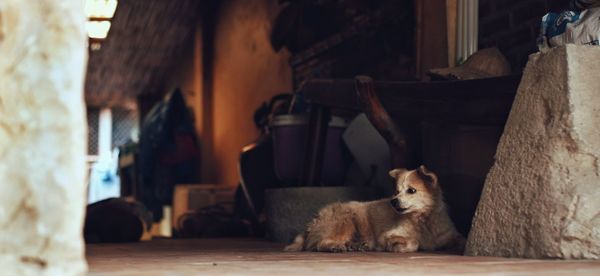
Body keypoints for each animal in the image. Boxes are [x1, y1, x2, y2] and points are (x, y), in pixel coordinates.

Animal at [282, 165, 464, 253]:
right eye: (396, 191)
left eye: (411, 190)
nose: (393, 201)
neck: (423, 220)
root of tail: (313, 221)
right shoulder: (387, 235)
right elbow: (414, 242)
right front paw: (397, 247)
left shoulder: (450, 235)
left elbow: (459, 240)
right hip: (347, 219)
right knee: (319, 243)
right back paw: (336, 247)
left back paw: (356, 245)